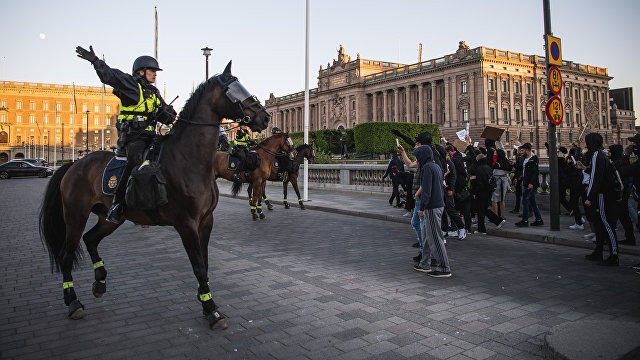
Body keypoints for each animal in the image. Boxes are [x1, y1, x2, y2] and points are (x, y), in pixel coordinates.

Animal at [39, 62, 270, 330]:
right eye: (234, 90)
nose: (265, 116)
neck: (189, 159)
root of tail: (73, 164)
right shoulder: (186, 223)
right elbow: (199, 266)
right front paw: (211, 309)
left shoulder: (206, 221)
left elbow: (205, 263)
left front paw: (205, 299)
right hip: (75, 215)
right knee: (67, 255)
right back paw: (73, 301)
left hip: (109, 218)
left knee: (91, 239)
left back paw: (100, 281)